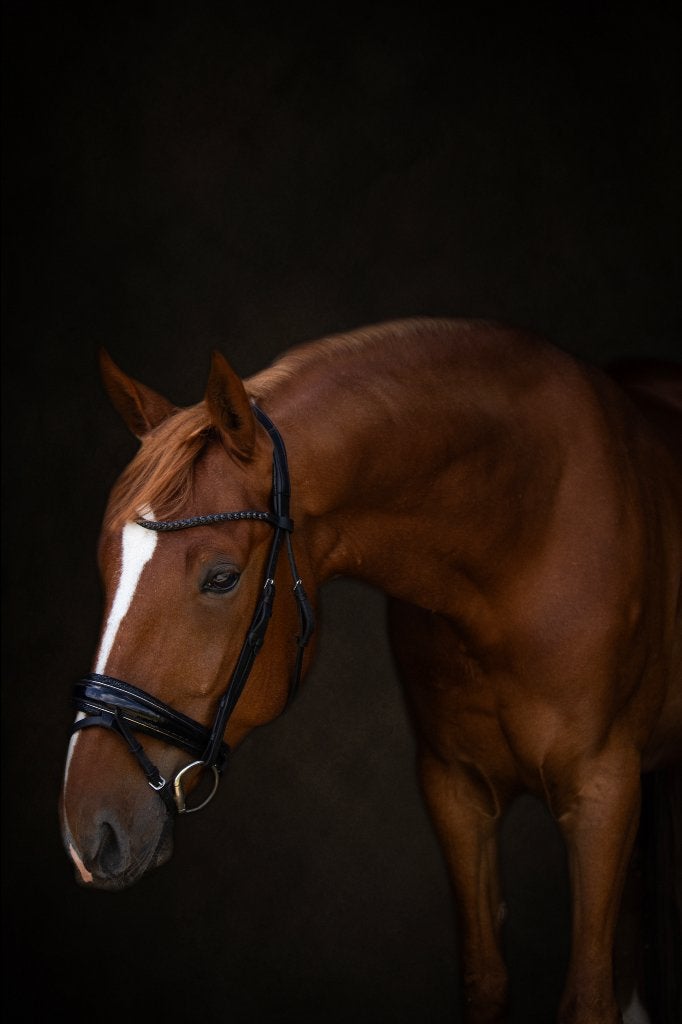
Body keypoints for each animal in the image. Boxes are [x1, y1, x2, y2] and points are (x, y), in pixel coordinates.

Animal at [59, 317, 681, 1024]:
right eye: (107, 566)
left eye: (221, 578)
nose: (90, 833)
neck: (524, 534)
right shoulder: (456, 792)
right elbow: (485, 978)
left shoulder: (602, 792)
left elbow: (588, 999)